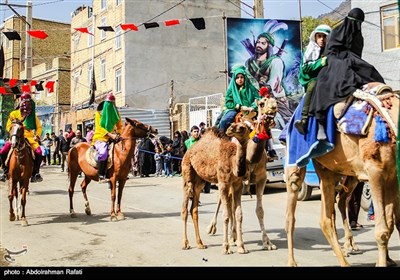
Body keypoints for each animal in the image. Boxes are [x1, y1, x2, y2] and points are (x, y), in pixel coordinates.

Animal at [181, 122, 250, 254]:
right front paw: (226, 247)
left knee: (194, 209)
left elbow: (238, 214)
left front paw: (241, 247)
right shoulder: (223, 183)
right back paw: (185, 244)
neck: (233, 161)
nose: (230, 128)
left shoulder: (237, 184)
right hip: (187, 174)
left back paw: (200, 244)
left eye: (243, 127)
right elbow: (226, 215)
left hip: (199, 182)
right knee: (184, 209)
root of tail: (189, 151)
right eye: (234, 124)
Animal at [206, 96, 278, 249]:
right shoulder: (234, 179)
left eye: (275, 101)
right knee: (222, 201)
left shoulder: (262, 177)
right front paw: (235, 239)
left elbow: (259, 210)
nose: (273, 107)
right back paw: (213, 228)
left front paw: (267, 242)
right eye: (262, 103)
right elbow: (233, 208)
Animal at [286, 90, 398, 266]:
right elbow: (382, 231)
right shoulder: (375, 171)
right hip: (297, 163)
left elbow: (392, 224)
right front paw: (382, 262)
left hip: (333, 172)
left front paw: (387, 259)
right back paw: (293, 261)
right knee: (293, 209)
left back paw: (345, 250)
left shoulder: (392, 175)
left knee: (330, 214)